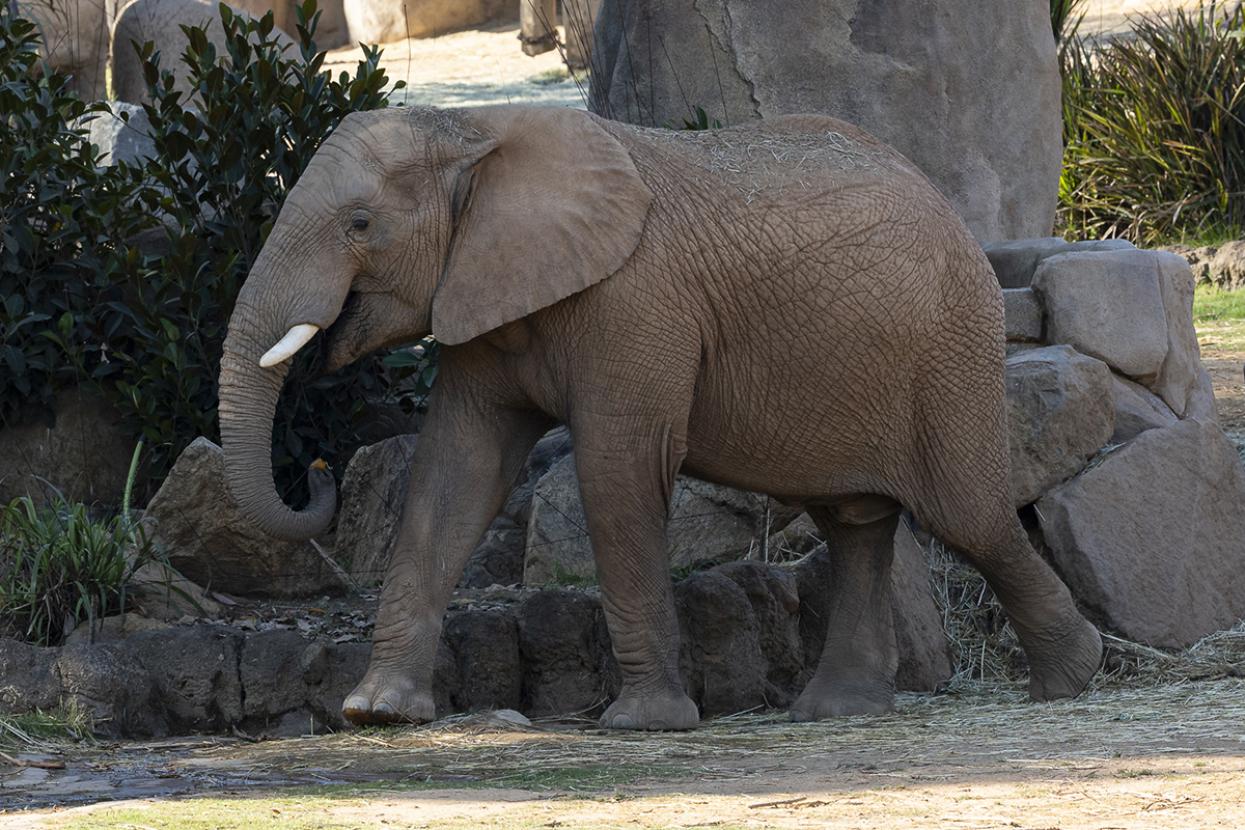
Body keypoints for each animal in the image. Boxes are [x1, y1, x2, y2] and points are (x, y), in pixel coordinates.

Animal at [217, 104, 1104, 730]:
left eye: (359, 224)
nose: (319, 468)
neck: (477, 132)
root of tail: (949, 210)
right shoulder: (480, 298)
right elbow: (455, 474)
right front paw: (376, 712)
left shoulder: (635, 304)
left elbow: (617, 469)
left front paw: (643, 724)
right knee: (854, 521)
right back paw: (837, 711)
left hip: (947, 347)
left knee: (965, 515)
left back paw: (1074, 678)